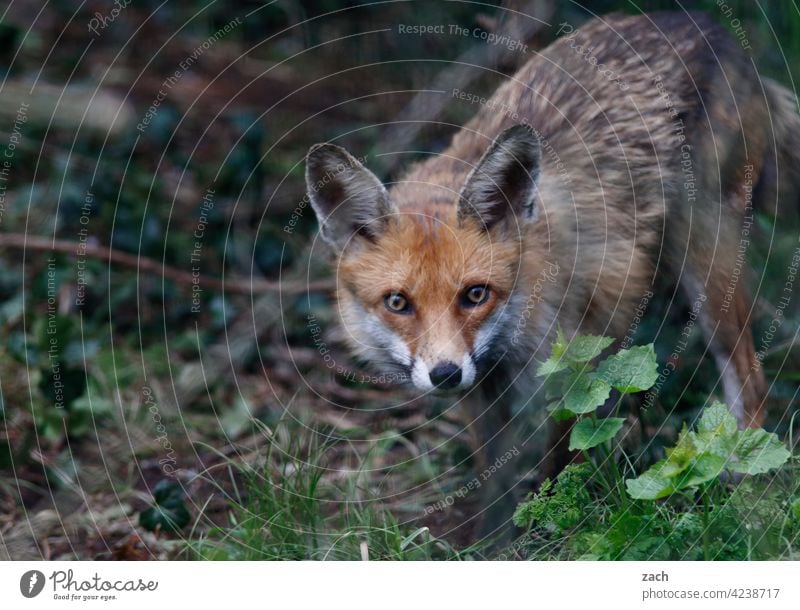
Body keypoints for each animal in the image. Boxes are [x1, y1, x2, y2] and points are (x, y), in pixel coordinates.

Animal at [304, 11, 800, 528]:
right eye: (398, 302)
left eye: (475, 294)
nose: (444, 374)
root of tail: (703, 24)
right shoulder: (484, 394)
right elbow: (494, 480)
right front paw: (491, 536)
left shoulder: (573, 369)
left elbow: (561, 467)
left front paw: (552, 530)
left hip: (705, 255)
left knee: (751, 378)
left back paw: (744, 497)